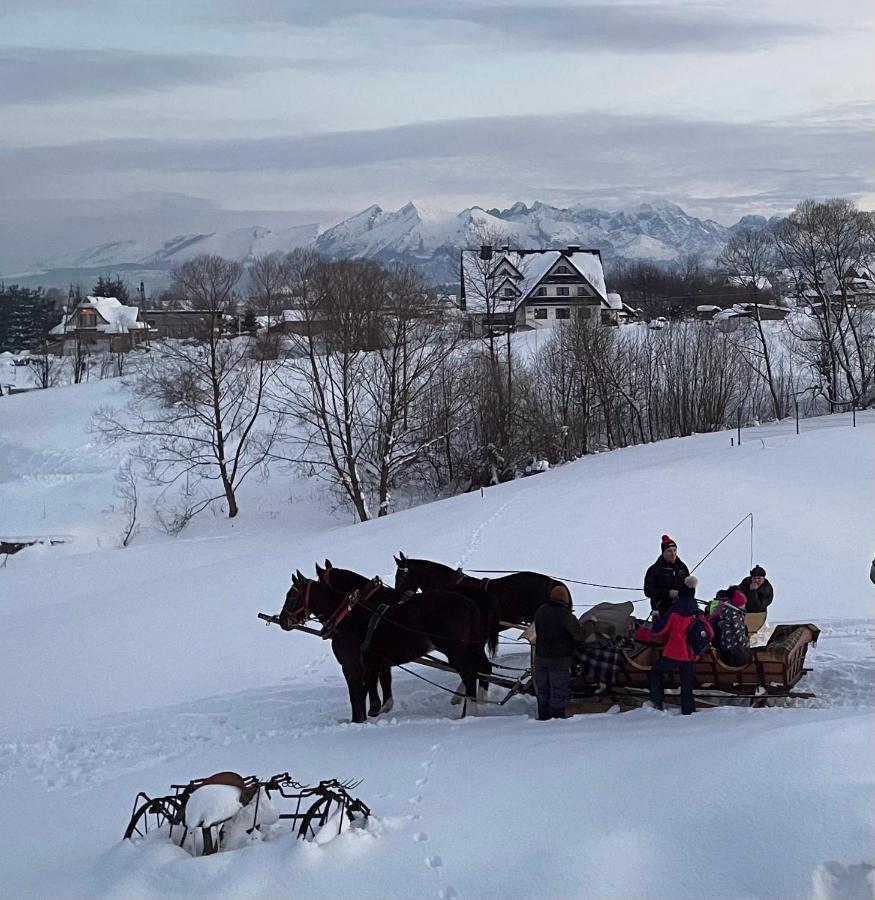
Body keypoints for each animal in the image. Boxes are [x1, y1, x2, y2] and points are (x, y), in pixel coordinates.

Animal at [280, 568, 486, 724]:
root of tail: (469, 603)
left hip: (456, 651)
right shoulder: (370, 665)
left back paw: (470, 712)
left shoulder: (351, 667)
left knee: (470, 675)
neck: (346, 618)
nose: (282, 620)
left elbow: (356, 697)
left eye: (291, 596)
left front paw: (357, 721)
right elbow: (369, 690)